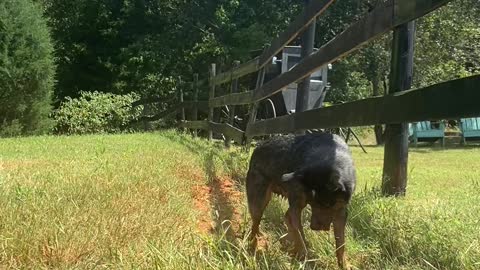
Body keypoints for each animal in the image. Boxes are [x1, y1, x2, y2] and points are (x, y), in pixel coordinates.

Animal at [248, 133, 356, 268]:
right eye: (312, 203)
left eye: (327, 204)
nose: (314, 227)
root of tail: (257, 148)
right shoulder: (296, 206)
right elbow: (300, 236)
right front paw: (304, 260)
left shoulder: (341, 212)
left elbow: (341, 244)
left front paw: (344, 265)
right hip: (259, 202)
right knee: (256, 224)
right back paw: (254, 245)